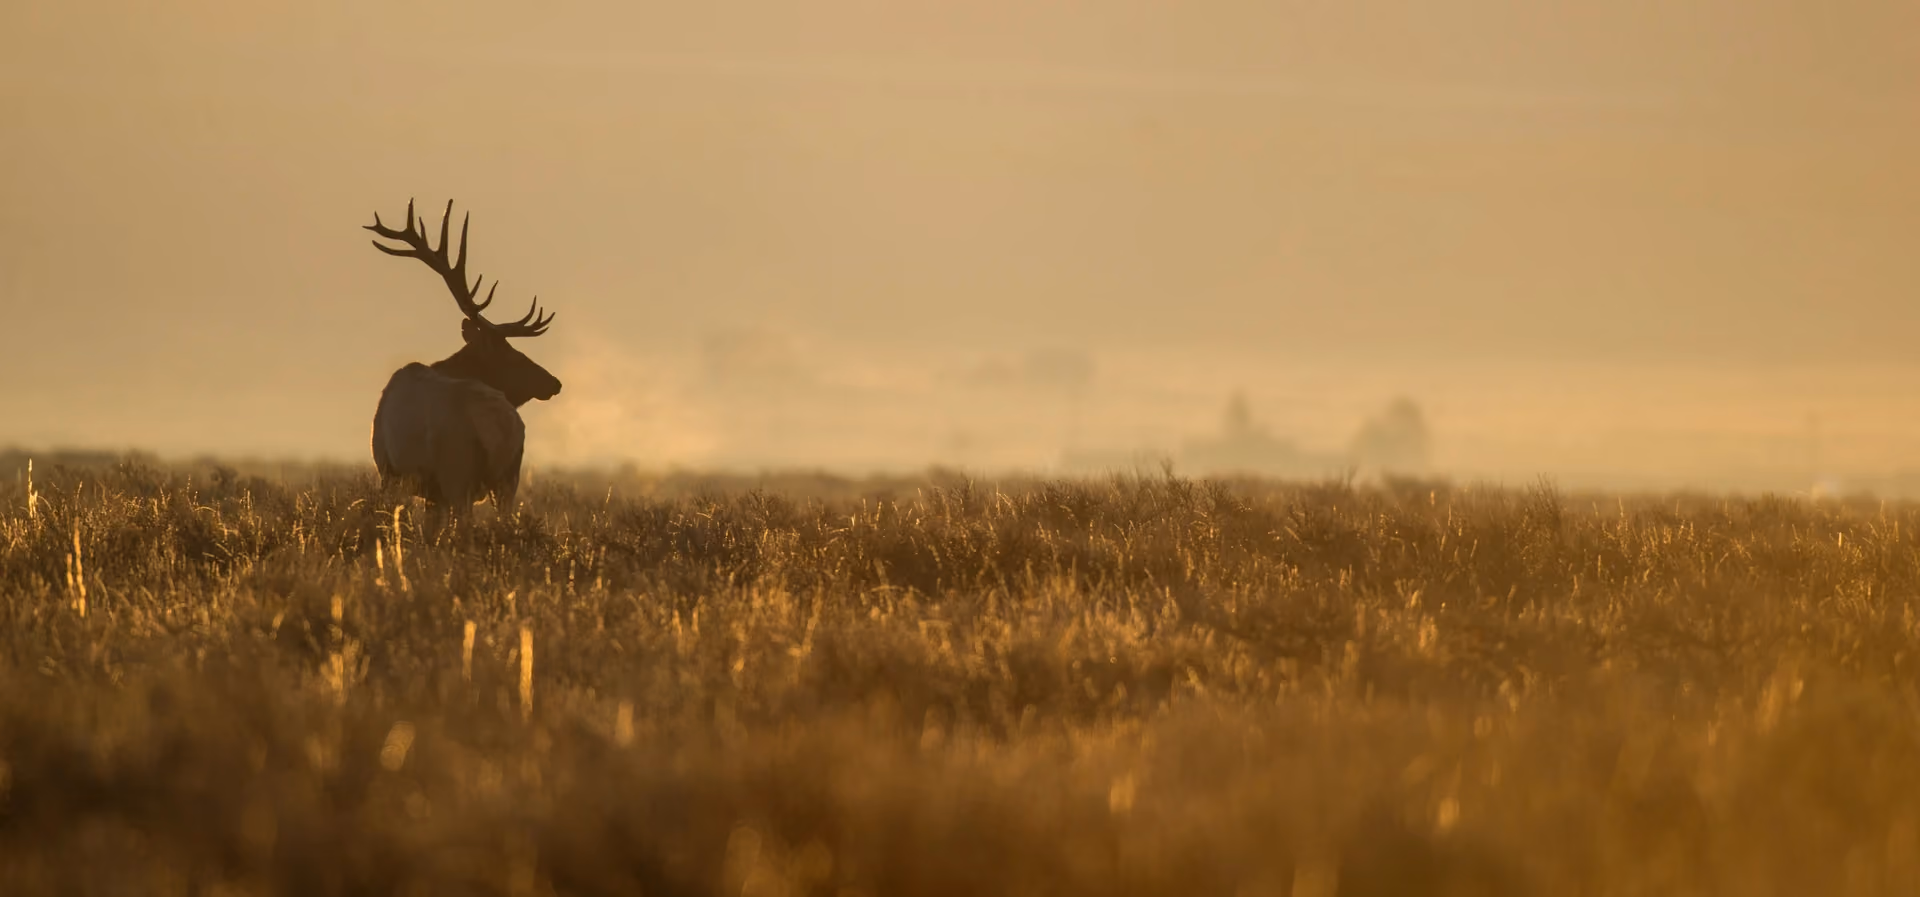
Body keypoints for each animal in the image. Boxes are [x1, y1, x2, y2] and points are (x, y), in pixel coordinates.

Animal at [365, 199, 561, 519]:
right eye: (512, 355)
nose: (554, 383)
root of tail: (502, 427)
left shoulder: (389, 470)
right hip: (508, 479)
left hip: (457, 472)